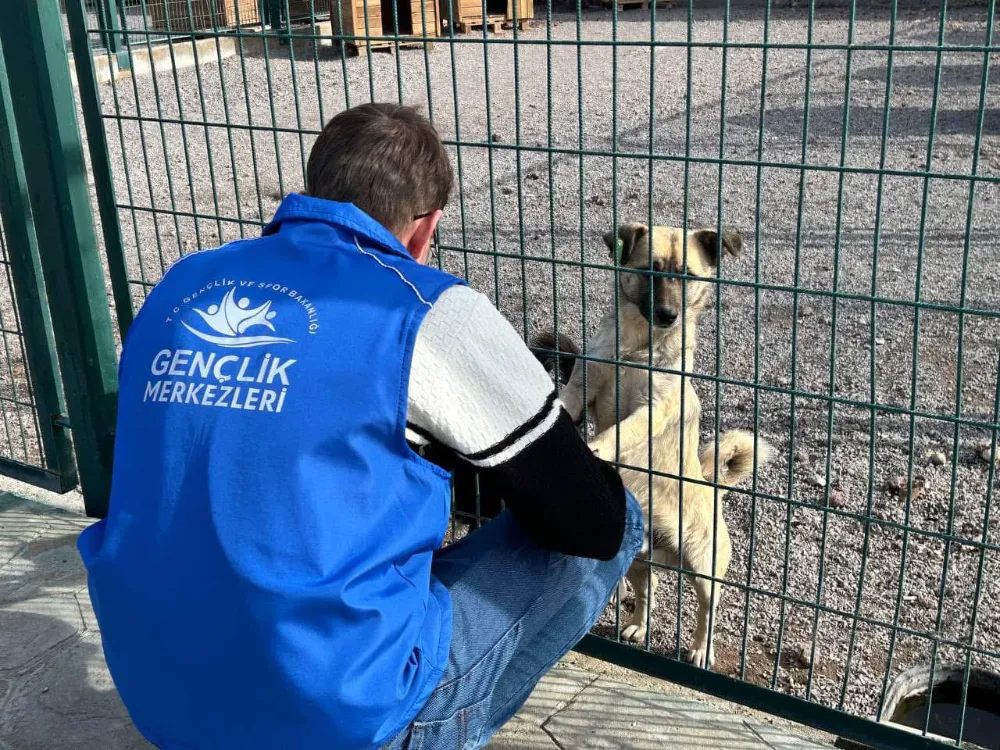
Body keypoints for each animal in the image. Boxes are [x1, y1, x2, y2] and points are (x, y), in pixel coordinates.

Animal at [532, 223, 772, 668]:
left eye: (688, 276)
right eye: (650, 271)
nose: (668, 315)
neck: (638, 347)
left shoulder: (651, 410)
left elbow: (617, 434)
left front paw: (595, 449)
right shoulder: (582, 388)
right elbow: (566, 407)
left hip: (704, 567)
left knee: (706, 610)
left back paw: (700, 650)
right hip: (638, 563)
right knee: (649, 591)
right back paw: (639, 627)